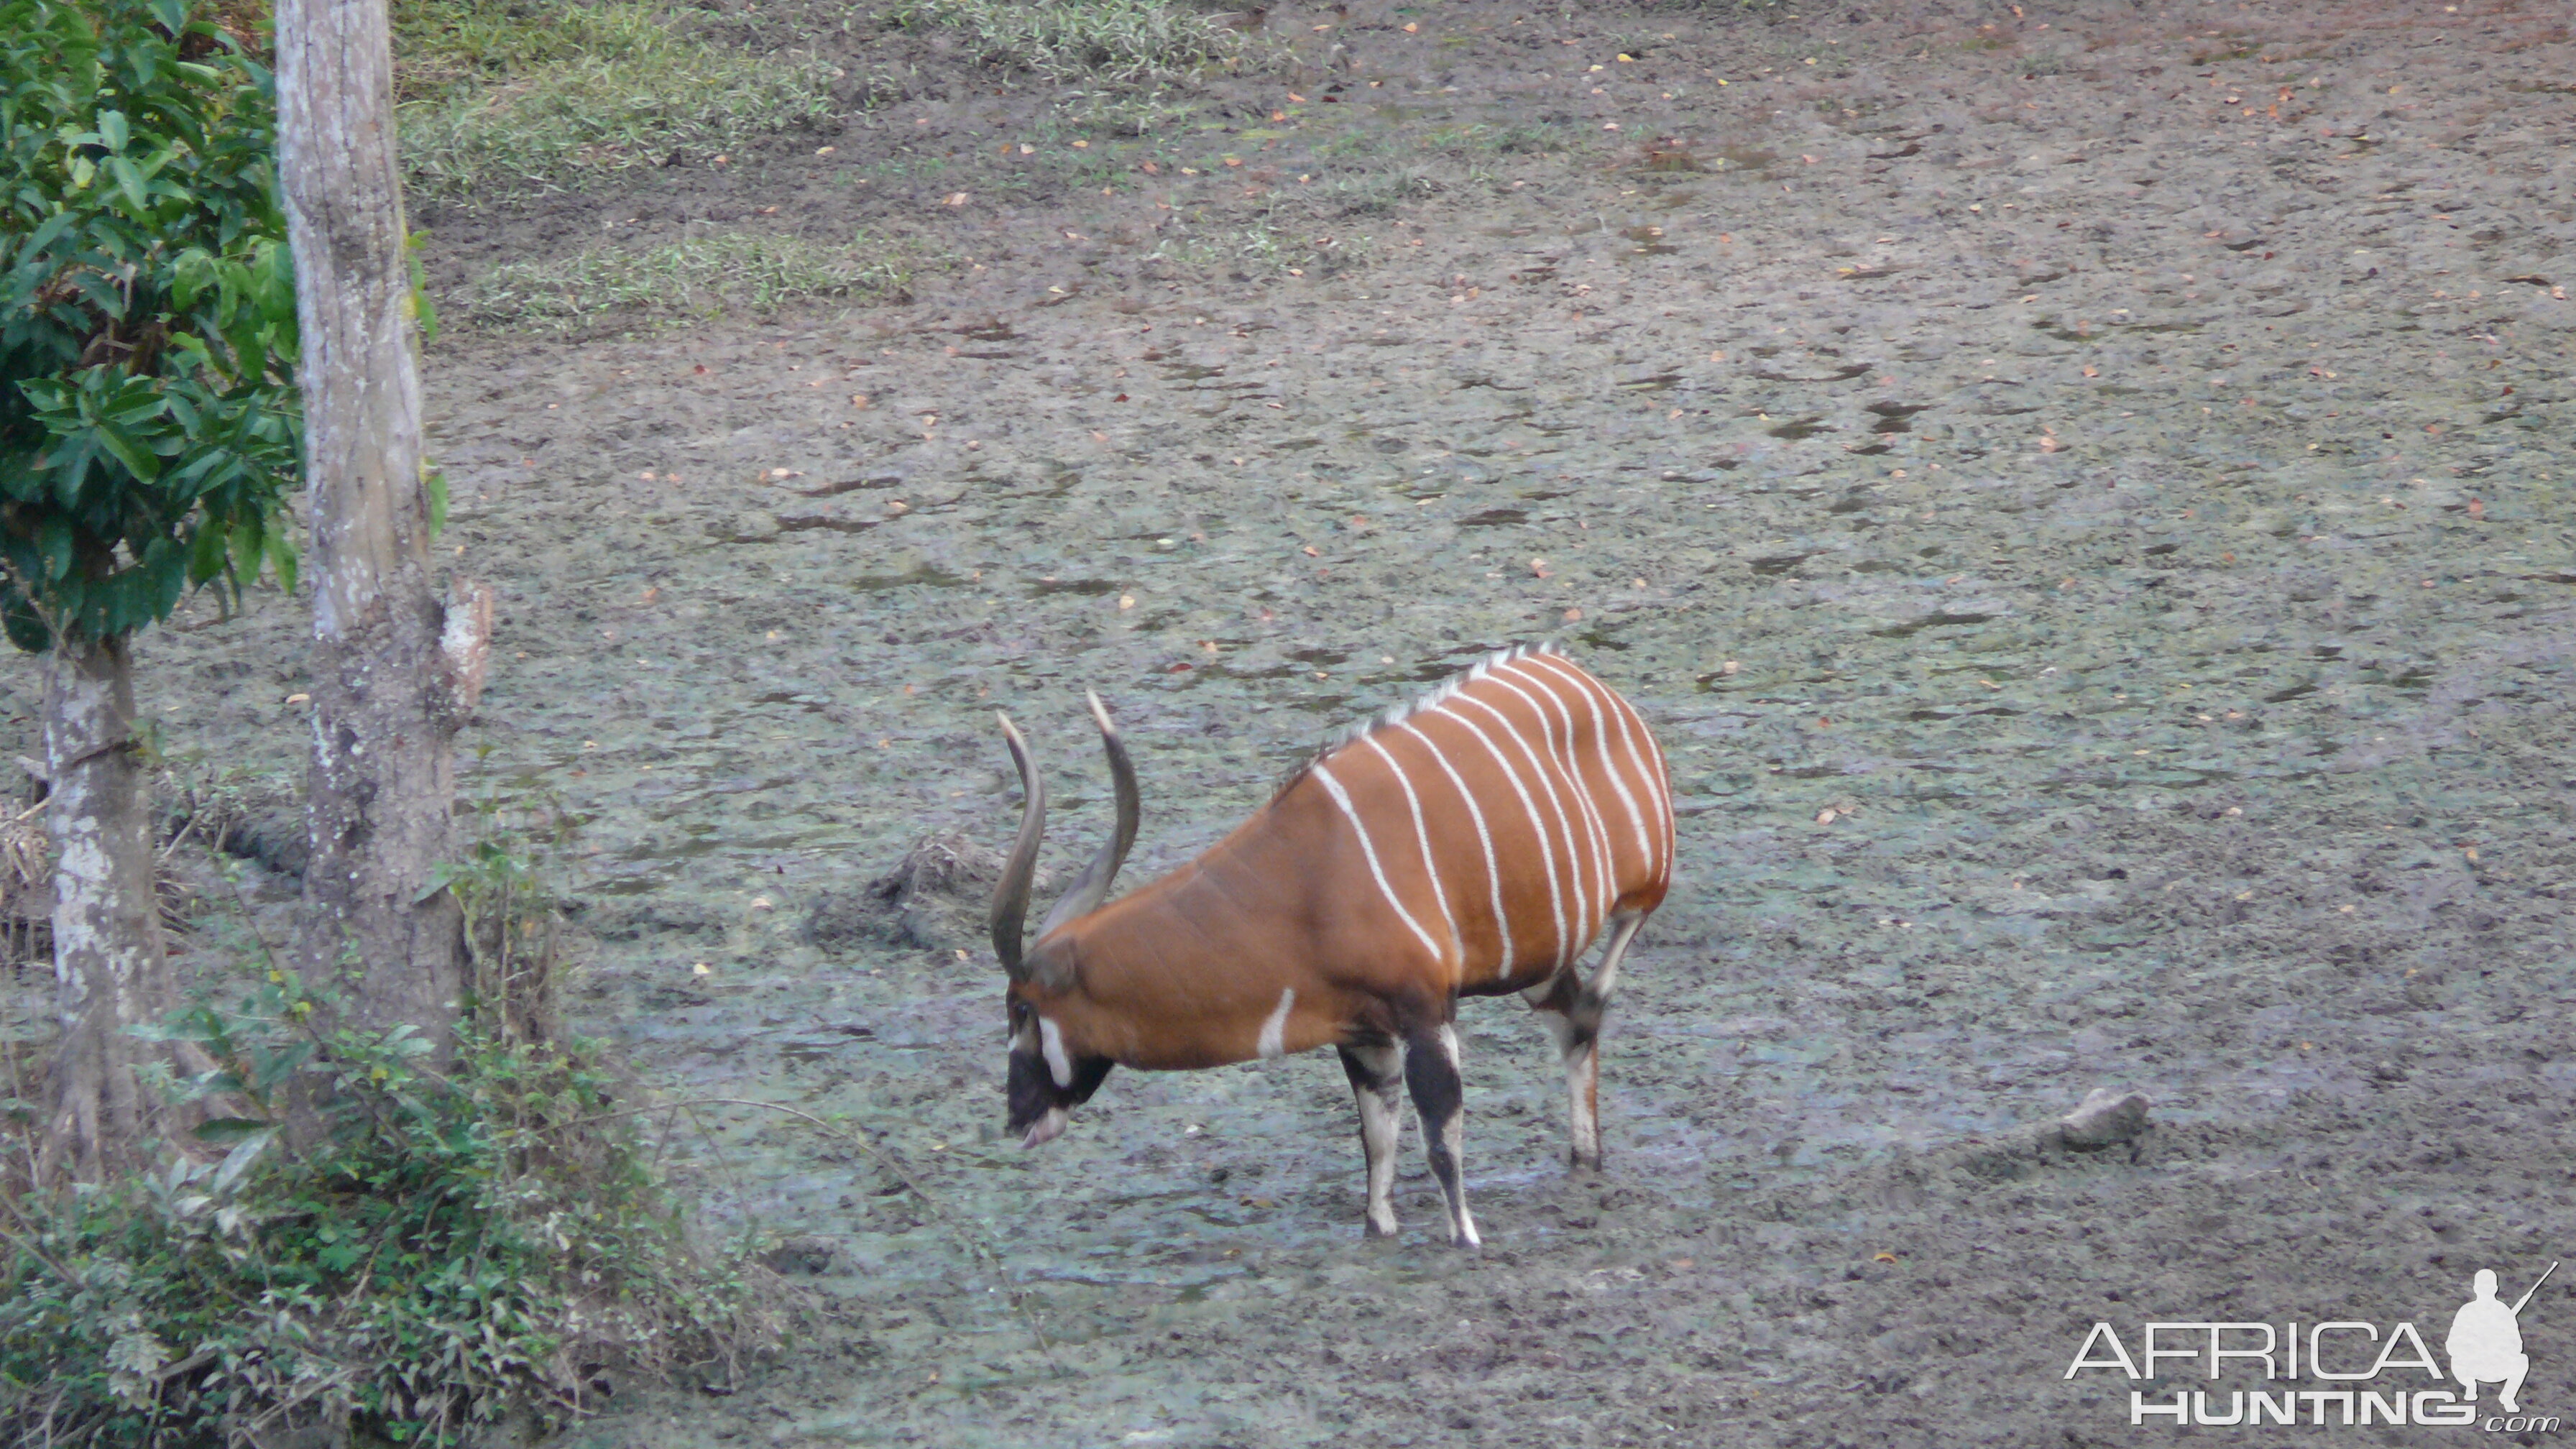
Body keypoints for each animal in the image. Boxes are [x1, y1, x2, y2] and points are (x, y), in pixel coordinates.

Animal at [984, 642, 1669, 1243]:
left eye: (1021, 1009)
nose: (1016, 1115)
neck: (1304, 882)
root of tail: (1592, 686)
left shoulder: (1426, 1013)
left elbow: (1440, 1140)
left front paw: (1465, 1239)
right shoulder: (1364, 1034)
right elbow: (1379, 1145)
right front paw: (1380, 1230)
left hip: (1644, 888)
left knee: (1595, 997)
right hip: (1536, 960)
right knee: (1573, 1021)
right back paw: (1584, 1159)